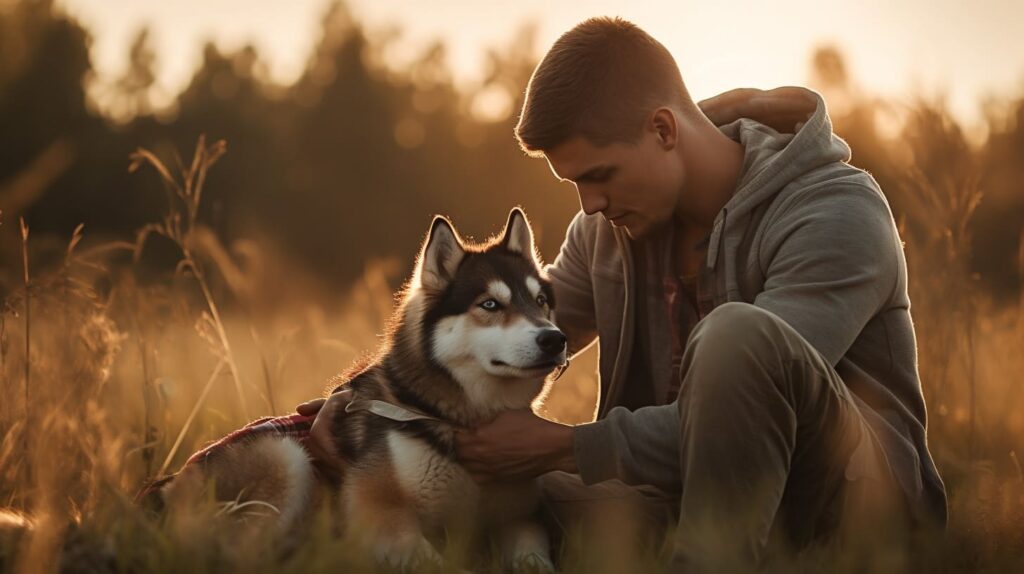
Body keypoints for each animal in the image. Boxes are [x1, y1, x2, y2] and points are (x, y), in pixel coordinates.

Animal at [142, 209, 569, 568]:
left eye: (541, 300)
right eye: (490, 304)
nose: (555, 339)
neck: (457, 419)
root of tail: (169, 485)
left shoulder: (520, 518)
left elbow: (534, 560)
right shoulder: (380, 514)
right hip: (283, 456)